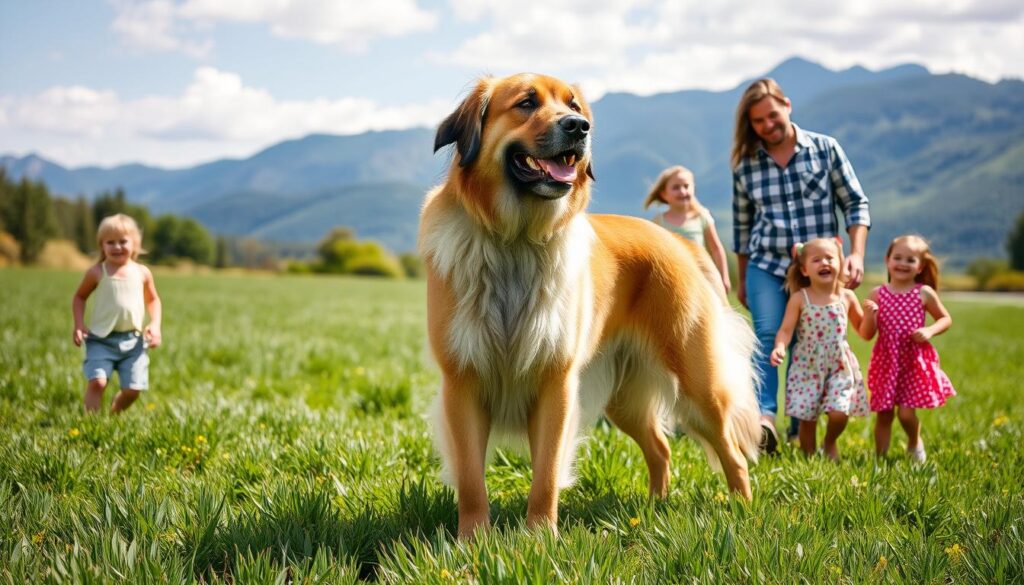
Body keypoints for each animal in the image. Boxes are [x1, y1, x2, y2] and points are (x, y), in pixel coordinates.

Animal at [415, 74, 761, 540]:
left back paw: (742, 509)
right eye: (526, 103)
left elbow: (545, 475)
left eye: (573, 105)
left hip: (698, 385)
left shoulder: (556, 385)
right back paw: (654, 506)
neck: (515, 240)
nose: (579, 128)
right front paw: (474, 541)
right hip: (626, 398)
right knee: (661, 447)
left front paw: (540, 538)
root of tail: (679, 243)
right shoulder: (462, 383)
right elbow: (471, 478)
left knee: (732, 451)